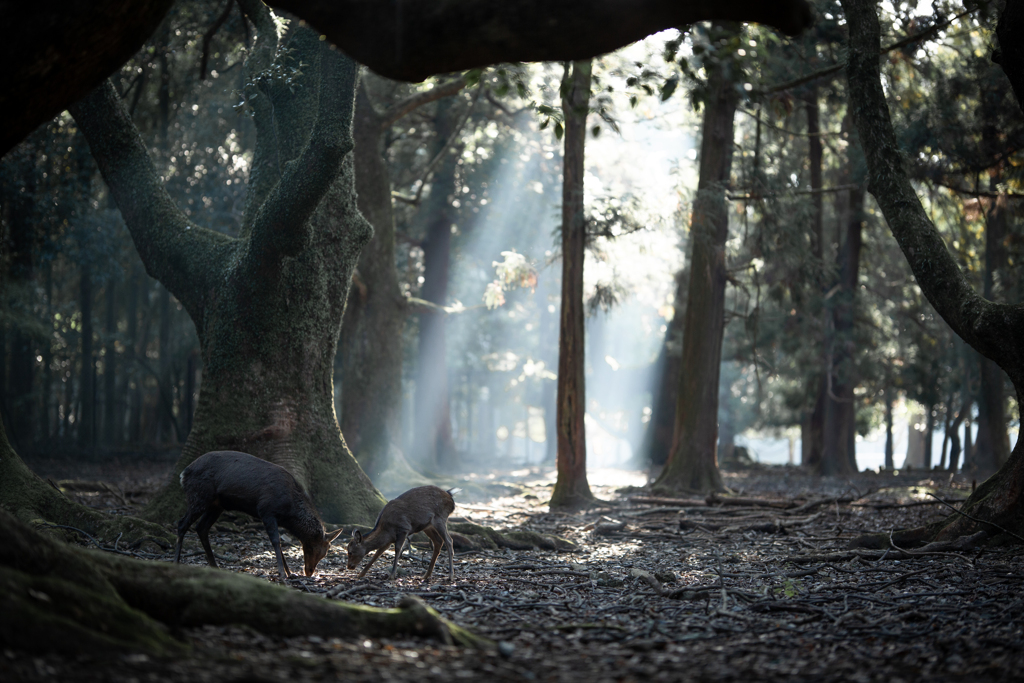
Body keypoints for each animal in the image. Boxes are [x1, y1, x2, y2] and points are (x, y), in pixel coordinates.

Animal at [169, 450, 342, 581]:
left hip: (216, 505)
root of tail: (183, 474)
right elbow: (276, 541)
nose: (309, 571)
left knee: (201, 527)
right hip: (199, 496)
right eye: (311, 547)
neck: (289, 513)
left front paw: (290, 573)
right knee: (182, 523)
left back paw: (215, 566)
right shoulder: (266, 510)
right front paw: (282, 573)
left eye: (325, 552)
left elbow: (279, 544)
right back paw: (176, 562)